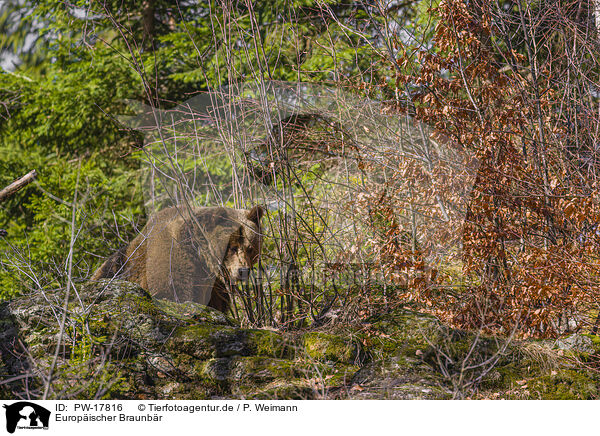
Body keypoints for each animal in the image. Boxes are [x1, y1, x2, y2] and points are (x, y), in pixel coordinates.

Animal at [90, 204, 264, 310]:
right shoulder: (172, 257)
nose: (243, 271)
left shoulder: (214, 285)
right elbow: (170, 291)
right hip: (117, 266)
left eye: (250, 248)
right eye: (232, 247)